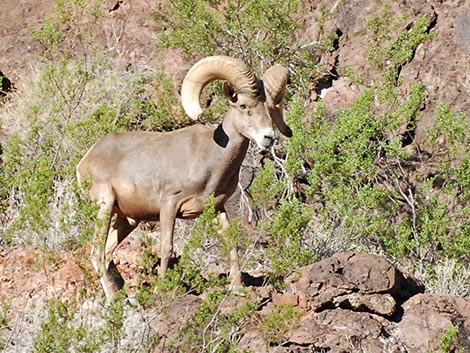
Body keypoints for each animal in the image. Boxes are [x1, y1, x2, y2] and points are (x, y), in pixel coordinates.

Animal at [76, 55, 290, 300]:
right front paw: (162, 290)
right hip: (104, 206)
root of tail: (86, 160)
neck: (209, 157)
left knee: (108, 252)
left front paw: (237, 287)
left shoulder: (218, 208)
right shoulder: (169, 204)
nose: (268, 137)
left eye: (270, 108)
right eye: (244, 106)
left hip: (127, 220)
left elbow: (231, 243)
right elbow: (166, 247)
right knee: (96, 253)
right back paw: (113, 299)